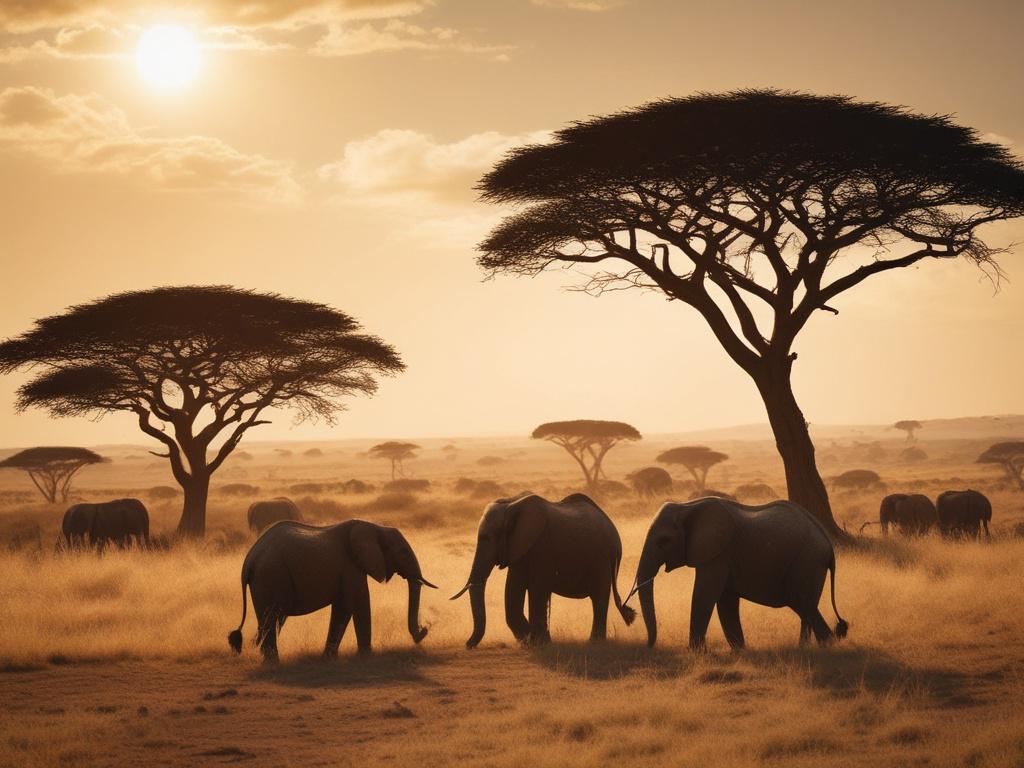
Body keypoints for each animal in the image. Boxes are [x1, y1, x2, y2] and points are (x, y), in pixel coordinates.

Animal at [228, 519, 436, 662]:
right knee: (271, 618)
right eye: (403, 552)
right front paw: (365, 658)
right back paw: (273, 663)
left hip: (264, 582)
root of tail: (248, 562)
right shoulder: (350, 567)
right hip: (270, 576)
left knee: (269, 620)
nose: (424, 628)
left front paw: (330, 658)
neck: (375, 527)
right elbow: (356, 604)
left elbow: (344, 607)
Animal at [450, 493, 635, 648]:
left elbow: (537, 589)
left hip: (602, 559)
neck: (511, 504)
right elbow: (513, 590)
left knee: (599, 597)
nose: (467, 644)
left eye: (487, 538)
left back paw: (594, 642)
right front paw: (528, 640)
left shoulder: (542, 547)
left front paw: (538, 642)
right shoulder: (520, 549)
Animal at [626, 497, 848, 650]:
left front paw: (695, 652)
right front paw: (740, 651)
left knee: (803, 604)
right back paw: (810, 647)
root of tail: (828, 545)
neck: (687, 507)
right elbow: (725, 601)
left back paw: (824, 646)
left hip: (807, 562)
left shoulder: (718, 552)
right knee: (806, 608)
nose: (649, 645)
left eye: (663, 541)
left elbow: (705, 595)